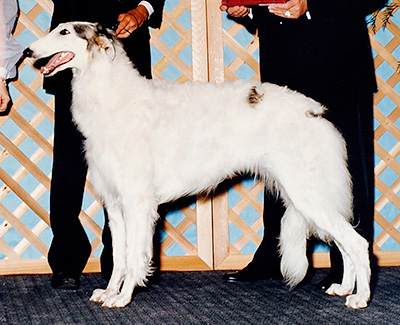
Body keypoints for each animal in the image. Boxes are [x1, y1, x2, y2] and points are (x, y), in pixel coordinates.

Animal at [24, 22, 368, 306]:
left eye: (65, 32)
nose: (27, 51)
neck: (112, 95)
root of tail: (315, 112)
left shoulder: (138, 203)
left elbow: (134, 257)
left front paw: (122, 298)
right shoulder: (114, 203)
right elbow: (119, 258)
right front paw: (109, 292)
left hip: (309, 194)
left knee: (358, 243)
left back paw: (360, 297)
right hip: (309, 197)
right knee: (344, 244)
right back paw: (342, 288)